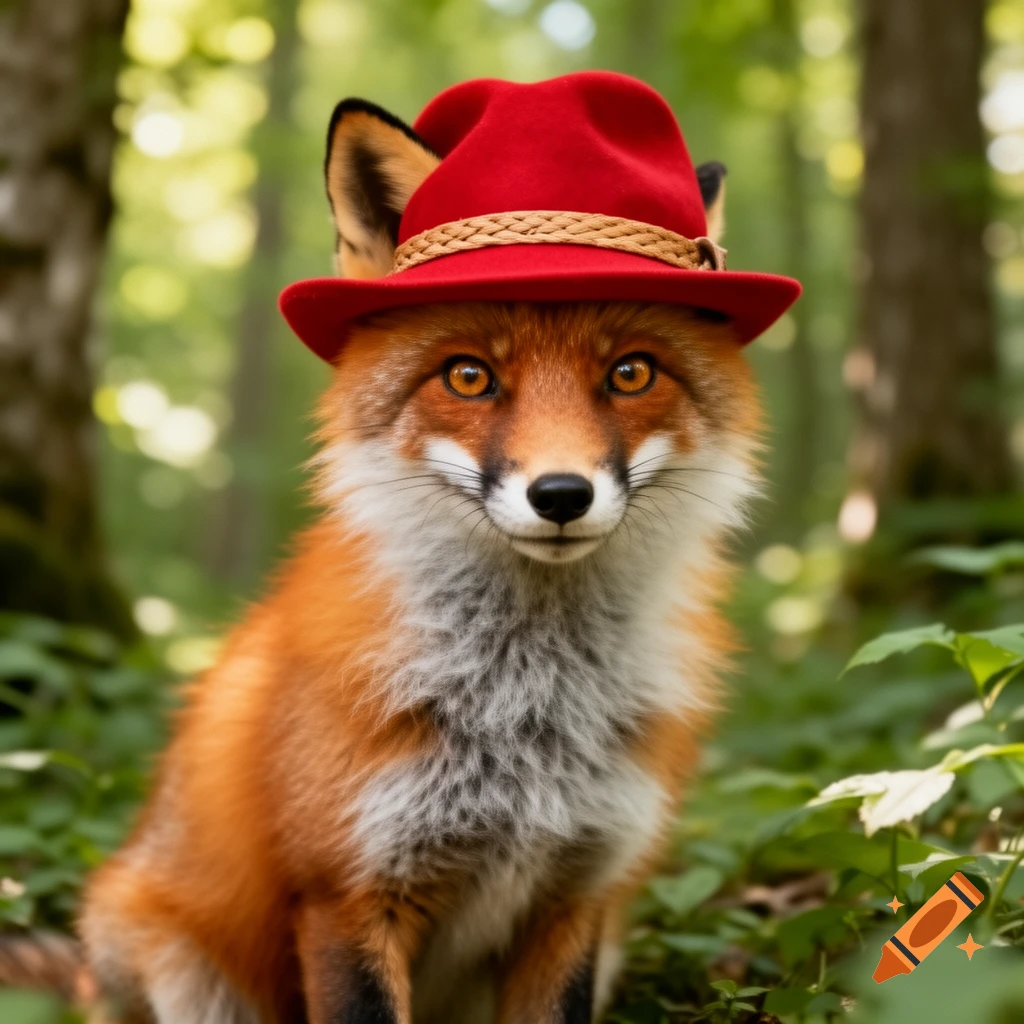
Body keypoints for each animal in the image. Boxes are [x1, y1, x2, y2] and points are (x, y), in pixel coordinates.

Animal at [1, 85, 766, 1023]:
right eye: (469, 376)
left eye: (630, 373)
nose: (560, 495)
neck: (528, 711)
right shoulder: (347, 893)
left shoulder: (577, 896)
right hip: (180, 966)